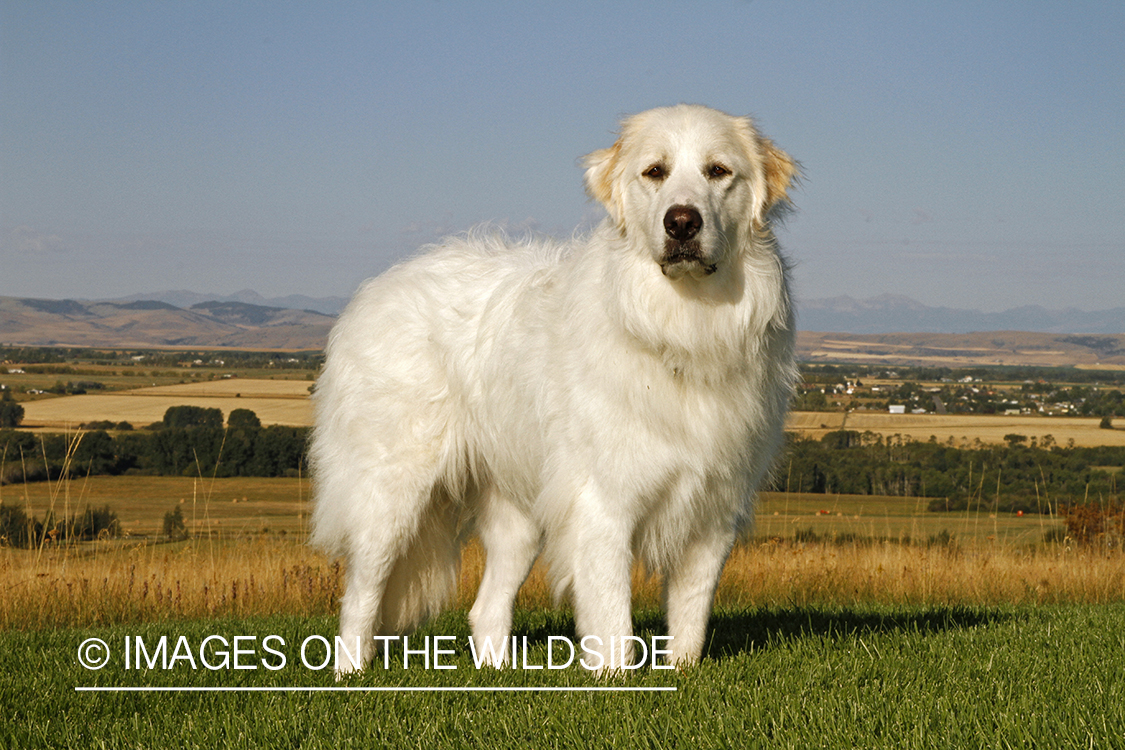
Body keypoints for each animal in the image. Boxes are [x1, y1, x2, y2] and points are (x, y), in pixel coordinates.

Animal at [312, 102, 796, 670]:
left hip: (519, 516)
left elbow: (691, 620)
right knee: (360, 596)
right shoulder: (604, 506)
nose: (681, 222)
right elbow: (614, 619)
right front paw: (618, 680)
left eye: (718, 171)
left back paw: (498, 671)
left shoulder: (714, 512)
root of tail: (378, 287)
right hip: (390, 495)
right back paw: (349, 673)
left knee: (486, 608)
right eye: (654, 172)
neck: (681, 327)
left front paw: (680, 673)